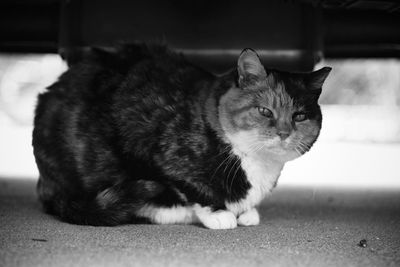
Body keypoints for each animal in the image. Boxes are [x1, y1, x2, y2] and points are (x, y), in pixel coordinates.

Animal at [32, 44, 332, 230]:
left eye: (299, 116)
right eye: (265, 111)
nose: (284, 133)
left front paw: (246, 212)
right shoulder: (156, 150)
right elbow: (191, 188)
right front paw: (219, 214)